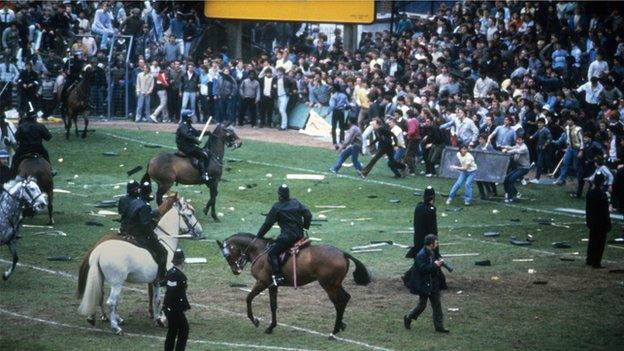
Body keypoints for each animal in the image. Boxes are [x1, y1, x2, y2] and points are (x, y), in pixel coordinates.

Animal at [75, 195, 202, 336]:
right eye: (189, 214)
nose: (200, 232)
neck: (165, 241)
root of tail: (99, 250)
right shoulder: (166, 281)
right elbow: (162, 300)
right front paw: (161, 319)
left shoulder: (155, 281)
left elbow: (156, 299)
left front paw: (157, 319)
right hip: (117, 283)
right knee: (111, 302)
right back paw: (115, 327)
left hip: (100, 278)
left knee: (98, 294)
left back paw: (95, 317)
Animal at [218, 234, 370, 336]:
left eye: (227, 256)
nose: (236, 270)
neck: (260, 251)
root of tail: (342, 253)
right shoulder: (273, 285)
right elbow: (273, 305)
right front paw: (271, 327)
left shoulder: (262, 283)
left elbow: (248, 298)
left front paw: (255, 321)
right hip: (336, 284)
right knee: (345, 298)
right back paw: (340, 325)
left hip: (329, 285)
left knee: (339, 302)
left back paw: (334, 331)